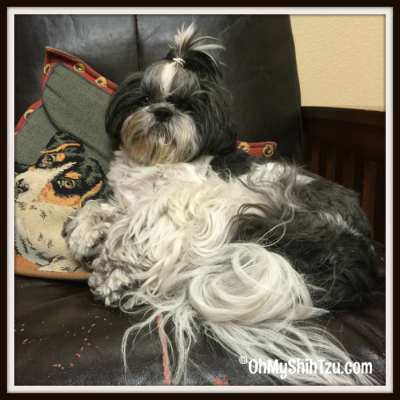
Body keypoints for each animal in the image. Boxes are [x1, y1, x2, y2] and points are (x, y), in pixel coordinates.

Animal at [65, 24, 378, 384]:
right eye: (144, 99)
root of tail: (359, 260)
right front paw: (85, 233)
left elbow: (136, 227)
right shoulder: (130, 200)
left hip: (243, 202)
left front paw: (113, 264)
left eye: (186, 106)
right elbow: (100, 208)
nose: (163, 111)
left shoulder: (177, 200)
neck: (155, 161)